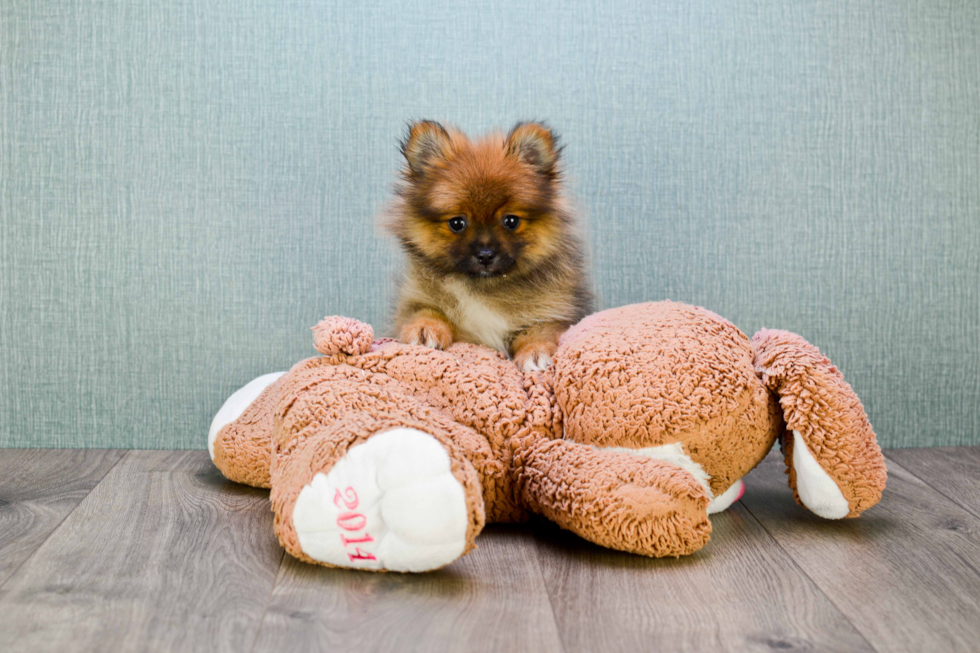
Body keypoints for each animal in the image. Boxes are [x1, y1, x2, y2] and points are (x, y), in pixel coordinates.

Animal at [382, 119, 592, 370]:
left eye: (511, 221)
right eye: (457, 223)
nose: (485, 254)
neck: (485, 288)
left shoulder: (551, 314)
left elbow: (538, 333)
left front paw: (535, 352)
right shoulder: (416, 301)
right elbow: (427, 312)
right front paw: (425, 329)